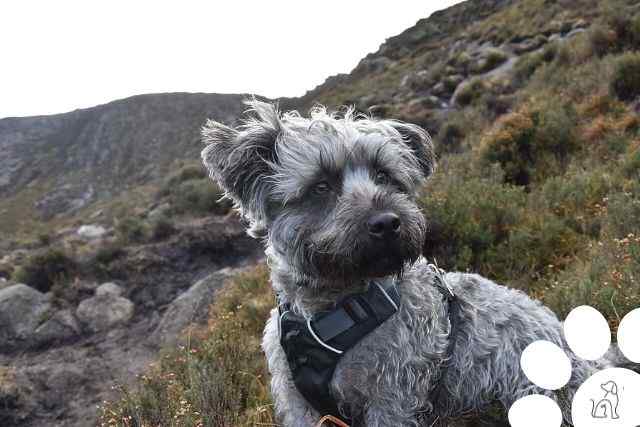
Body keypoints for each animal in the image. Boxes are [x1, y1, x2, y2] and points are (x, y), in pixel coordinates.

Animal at [200, 99, 608, 424]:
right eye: (321, 186)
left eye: (384, 174)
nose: (386, 223)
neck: (334, 311)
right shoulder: (301, 406)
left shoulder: (393, 399)